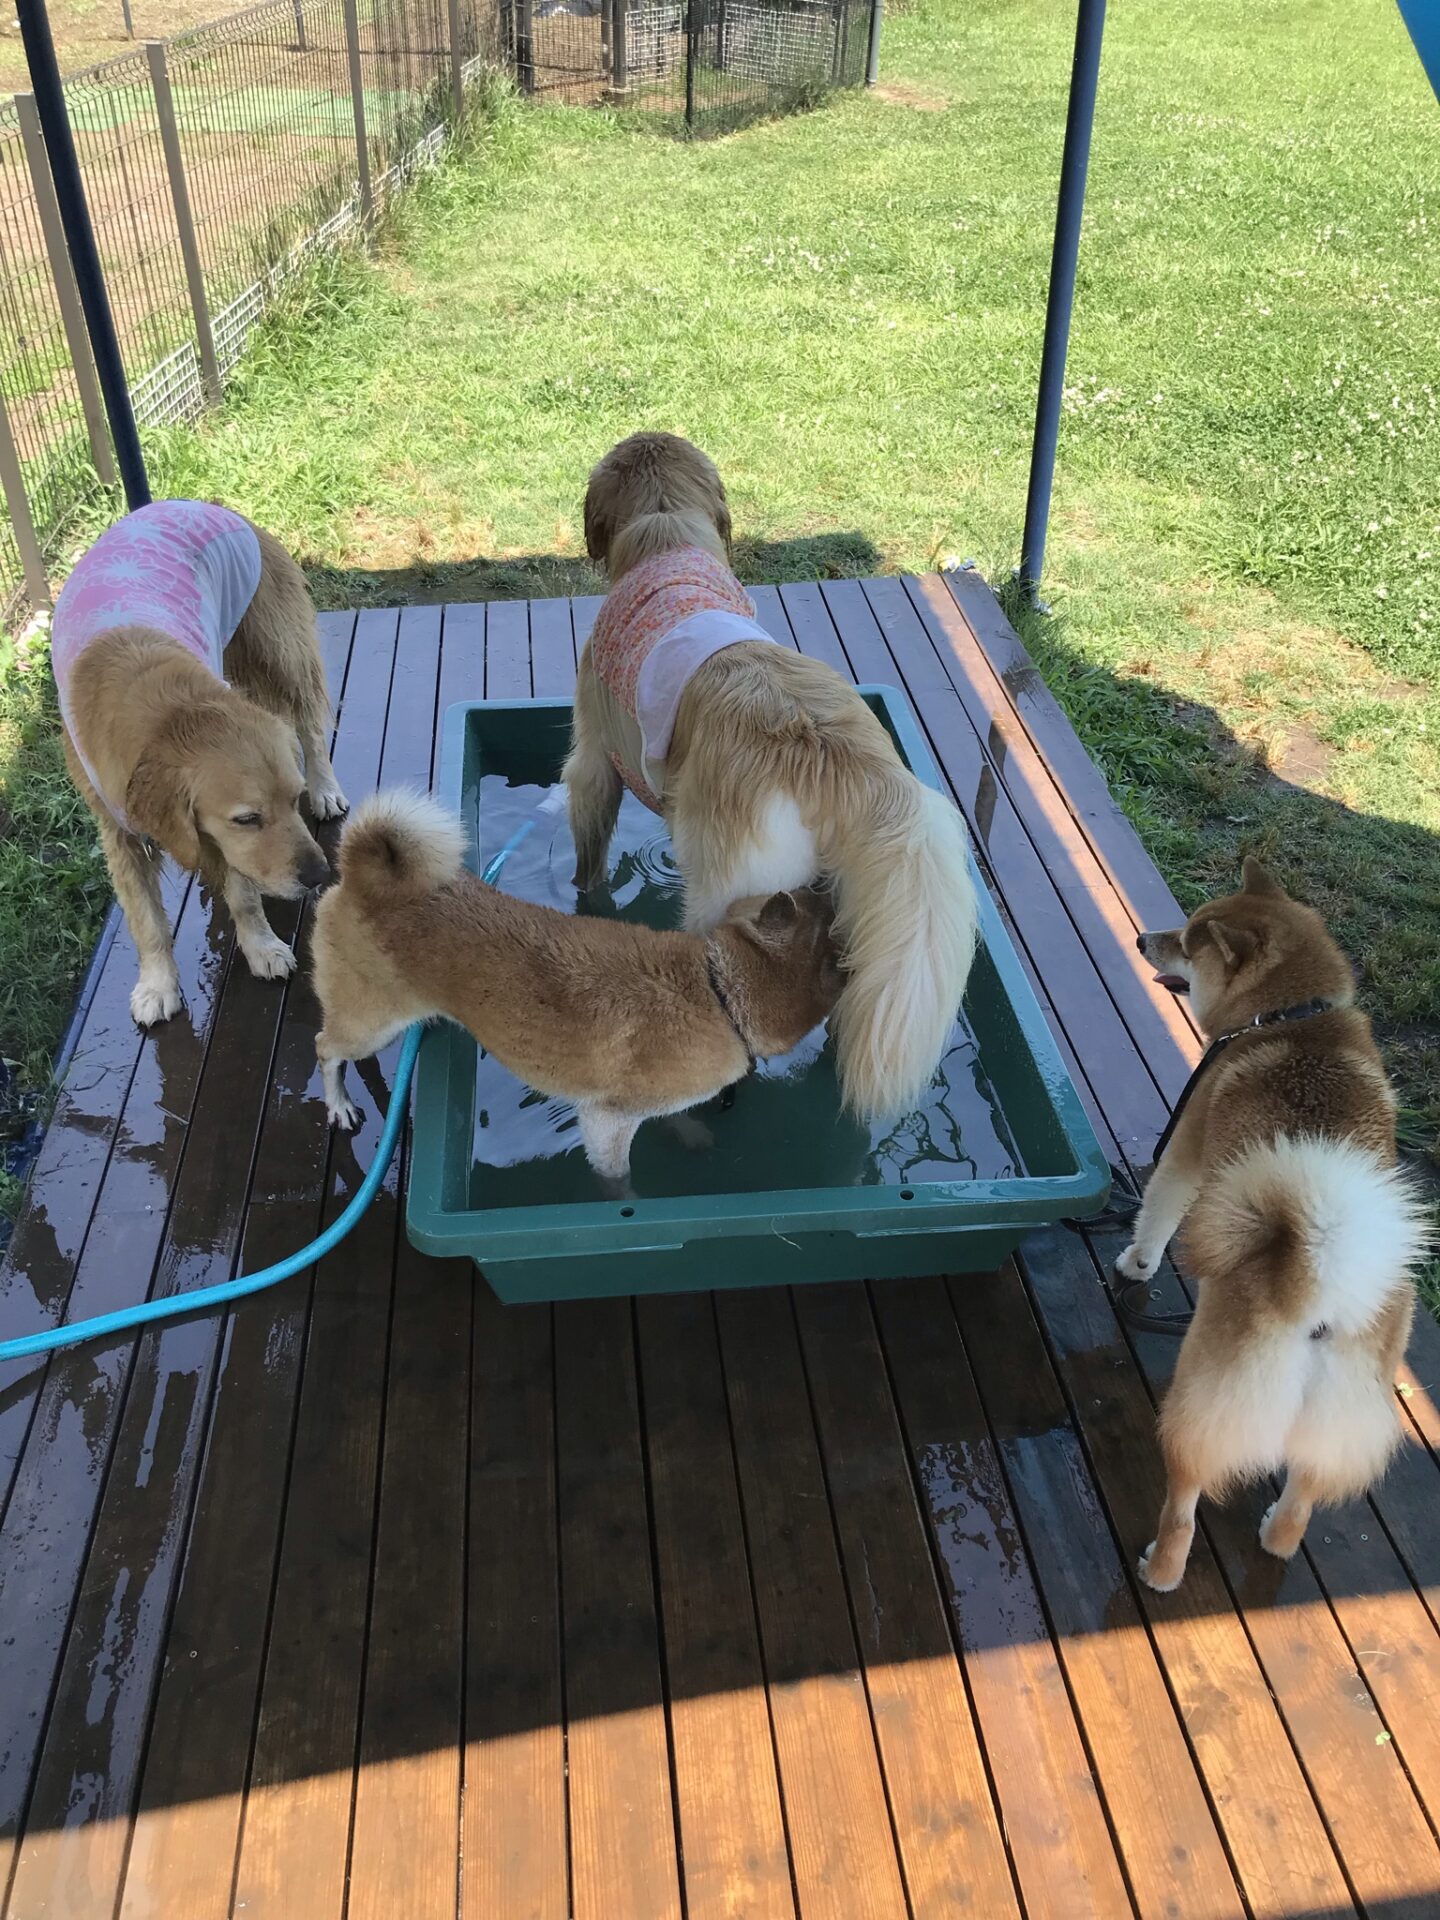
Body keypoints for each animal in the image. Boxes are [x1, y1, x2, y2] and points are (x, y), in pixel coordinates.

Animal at [51, 499, 347, 1027]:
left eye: (293, 800)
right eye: (248, 818)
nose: (318, 875)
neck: (168, 713)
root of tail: (207, 504)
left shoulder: (220, 841)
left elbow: (245, 895)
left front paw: (262, 947)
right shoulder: (120, 832)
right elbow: (146, 920)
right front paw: (156, 985)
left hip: (282, 649)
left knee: (312, 725)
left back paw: (327, 788)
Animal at [311, 791, 845, 1190]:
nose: (833, 882)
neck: (718, 992)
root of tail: (362, 876)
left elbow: (671, 1117)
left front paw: (688, 1131)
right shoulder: (604, 1121)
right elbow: (617, 1177)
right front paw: (627, 1204)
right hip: (371, 1023)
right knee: (326, 1047)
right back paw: (339, 1103)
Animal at [1118, 857, 1427, 1591]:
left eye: (1188, 940)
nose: (1142, 939)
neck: (1289, 1013)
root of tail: (1323, 1291)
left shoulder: (1185, 1148)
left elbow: (1157, 1214)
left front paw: (1134, 1265)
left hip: (1197, 1406)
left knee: (1184, 1508)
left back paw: (1159, 1568)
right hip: (1336, 1419)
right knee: (1302, 1502)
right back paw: (1275, 1532)